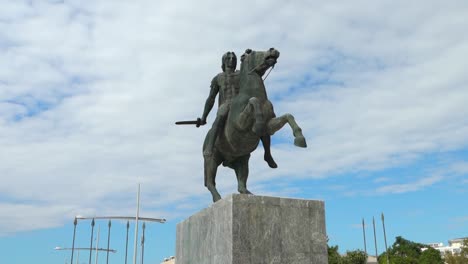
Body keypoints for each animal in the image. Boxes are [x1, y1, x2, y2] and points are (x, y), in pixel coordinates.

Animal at [202, 48, 308, 202]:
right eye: (250, 51)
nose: (273, 50)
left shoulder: (269, 126)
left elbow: (288, 116)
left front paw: (300, 138)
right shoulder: (239, 124)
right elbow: (253, 101)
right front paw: (257, 124)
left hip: (242, 159)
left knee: (241, 181)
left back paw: (248, 192)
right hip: (212, 160)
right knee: (210, 182)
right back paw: (217, 198)